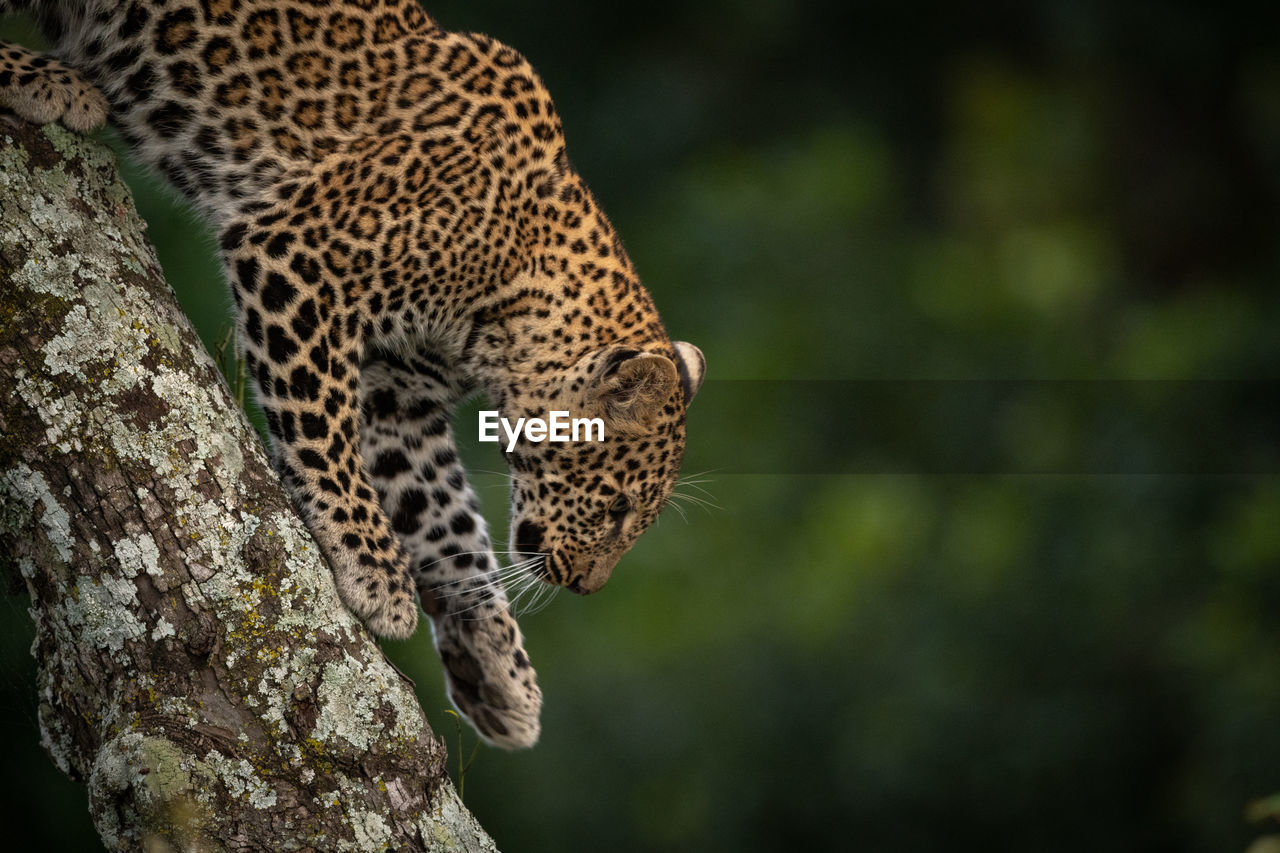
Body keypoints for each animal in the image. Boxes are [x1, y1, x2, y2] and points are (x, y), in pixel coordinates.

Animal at [0, 0, 711, 747]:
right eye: (616, 507)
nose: (587, 586)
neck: (512, 285)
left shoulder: (397, 395)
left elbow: (448, 521)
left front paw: (496, 668)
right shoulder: (297, 255)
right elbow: (322, 425)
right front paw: (377, 574)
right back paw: (51, 82)